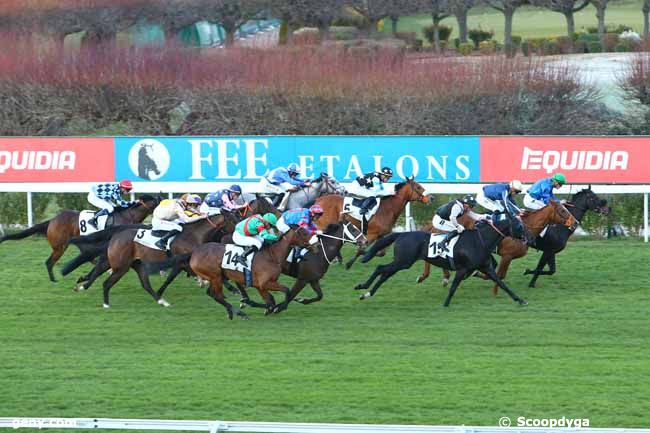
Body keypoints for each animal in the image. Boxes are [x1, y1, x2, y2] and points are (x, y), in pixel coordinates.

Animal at [0, 194, 157, 282]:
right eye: (156, 201)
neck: (127, 216)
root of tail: (52, 220)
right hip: (60, 246)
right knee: (49, 262)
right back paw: (54, 279)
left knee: (85, 256)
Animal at [356, 209, 528, 308]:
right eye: (519, 226)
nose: (528, 239)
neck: (480, 240)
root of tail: (401, 234)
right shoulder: (463, 269)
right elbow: (453, 287)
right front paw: (446, 304)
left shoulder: (486, 267)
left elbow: (502, 283)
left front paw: (520, 300)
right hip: (403, 261)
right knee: (380, 268)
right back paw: (362, 286)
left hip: (402, 262)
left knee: (385, 274)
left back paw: (367, 294)